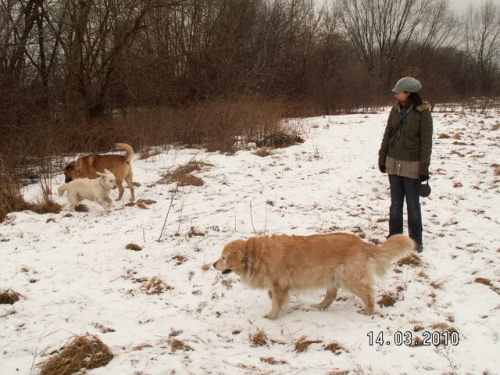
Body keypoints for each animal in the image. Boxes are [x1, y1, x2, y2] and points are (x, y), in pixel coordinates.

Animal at [213, 235, 412, 320]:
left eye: (223, 257)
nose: (213, 264)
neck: (253, 254)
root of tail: (361, 242)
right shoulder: (279, 286)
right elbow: (275, 297)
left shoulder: (278, 284)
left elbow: (276, 302)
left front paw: (271, 316)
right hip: (333, 276)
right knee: (331, 295)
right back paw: (319, 306)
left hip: (351, 278)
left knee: (368, 294)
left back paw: (368, 312)